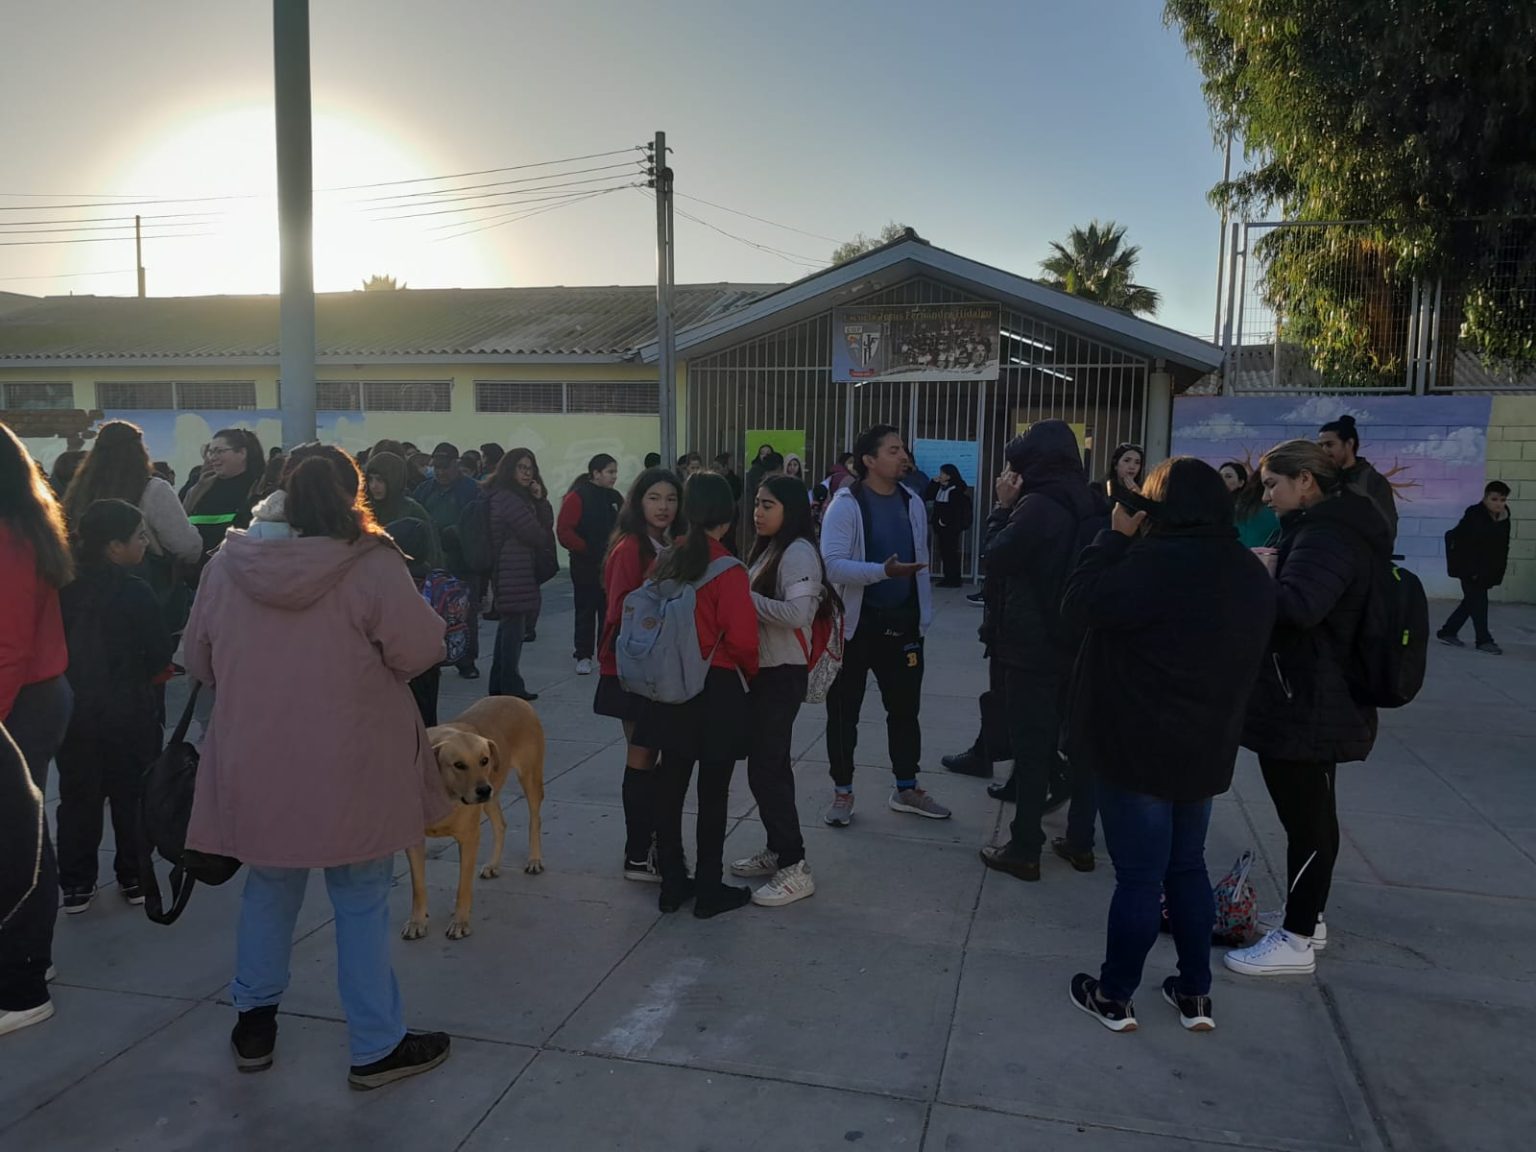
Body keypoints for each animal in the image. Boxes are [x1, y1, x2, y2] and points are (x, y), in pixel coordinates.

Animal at [402, 694, 546, 940]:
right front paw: (417, 922)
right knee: (501, 824)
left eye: (484, 760)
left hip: (528, 776)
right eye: (459, 765)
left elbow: (463, 887)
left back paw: (534, 859)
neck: (443, 792)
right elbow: (418, 886)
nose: (483, 789)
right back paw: (493, 864)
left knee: (534, 820)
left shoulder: (469, 838)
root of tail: (514, 698)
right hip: (493, 795)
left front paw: (460, 923)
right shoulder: (414, 840)